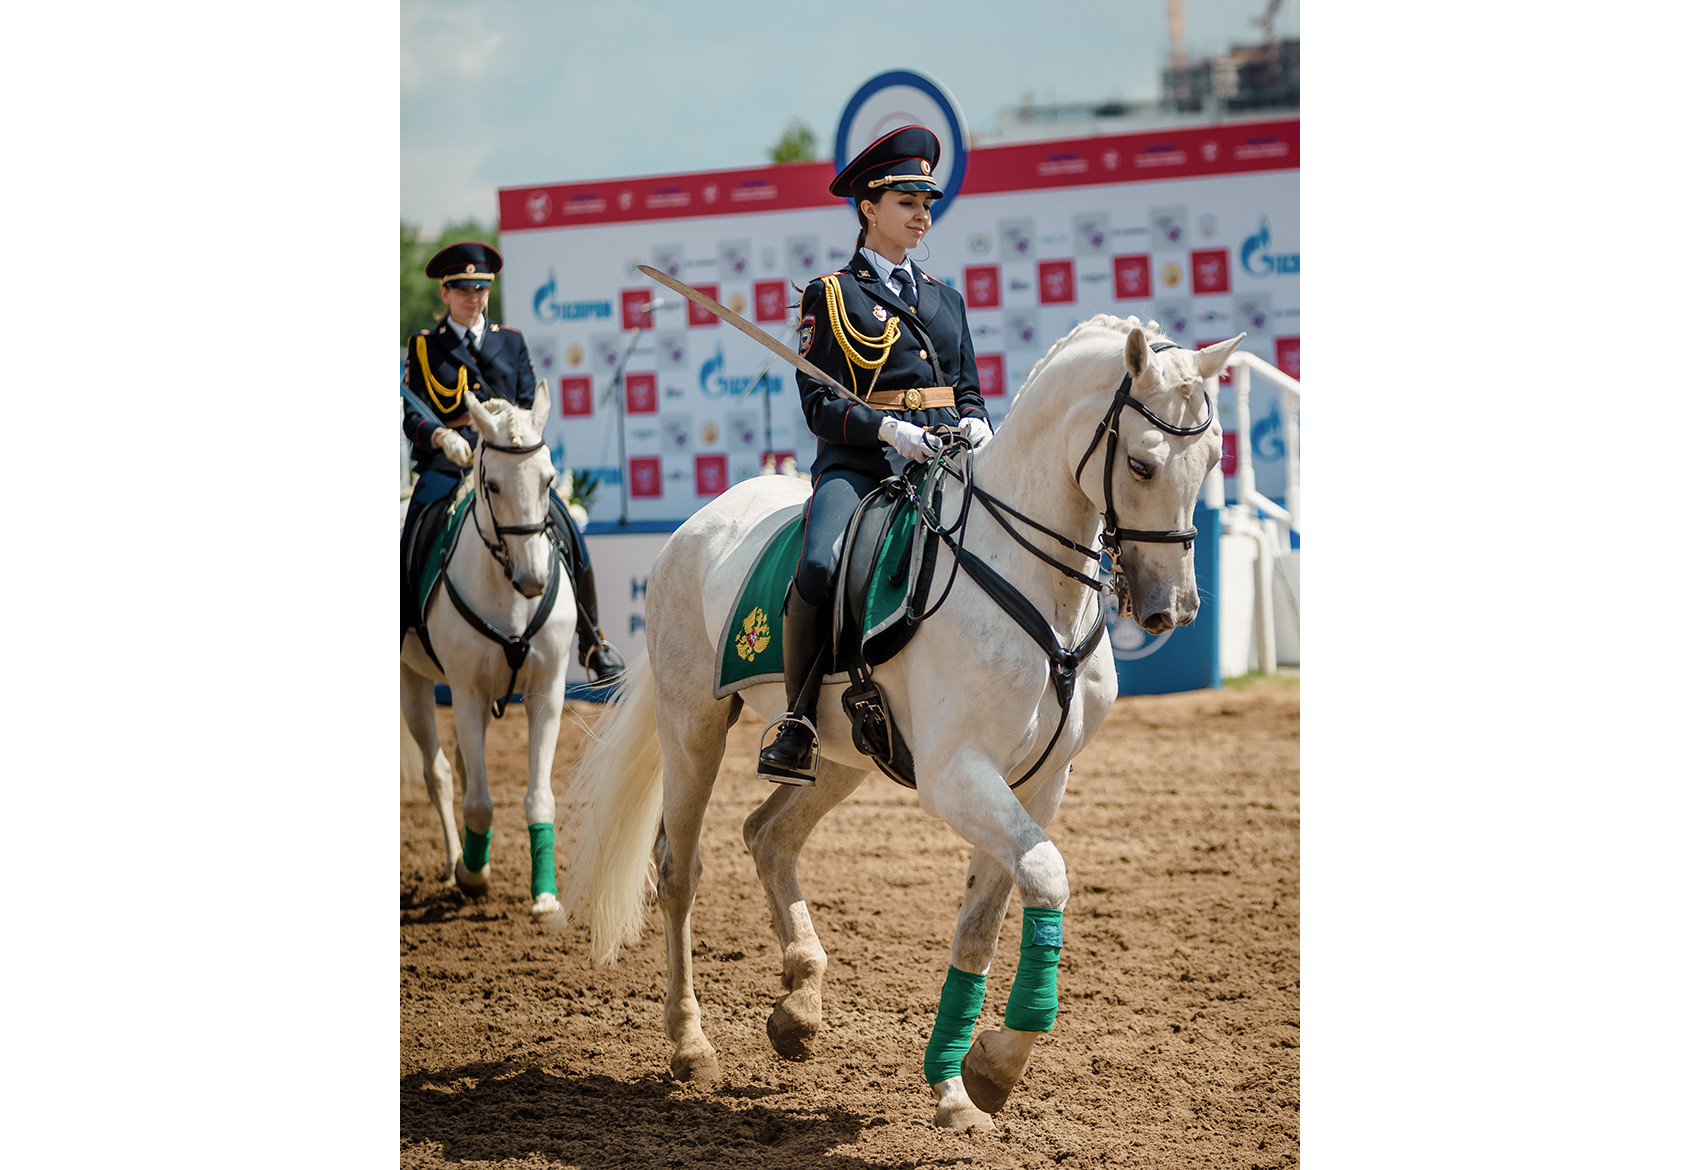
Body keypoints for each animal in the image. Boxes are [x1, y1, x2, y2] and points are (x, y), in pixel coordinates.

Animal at [399, 386, 578, 925]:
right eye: (493, 484)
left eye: (547, 480)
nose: (534, 579)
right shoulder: (466, 693)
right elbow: (478, 802)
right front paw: (472, 876)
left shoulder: (547, 692)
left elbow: (539, 798)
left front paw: (545, 897)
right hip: (413, 681)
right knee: (439, 773)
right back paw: (455, 861)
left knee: (457, 766)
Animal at [554, 314, 1238, 1129]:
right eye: (1140, 464)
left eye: (1212, 460)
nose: (1175, 610)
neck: (1029, 580)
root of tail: (697, 524)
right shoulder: (955, 776)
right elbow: (1045, 874)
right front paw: (980, 1072)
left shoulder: (1039, 782)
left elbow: (984, 923)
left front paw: (970, 1080)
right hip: (693, 723)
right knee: (678, 871)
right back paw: (691, 1046)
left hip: (840, 755)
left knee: (768, 834)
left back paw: (800, 1006)